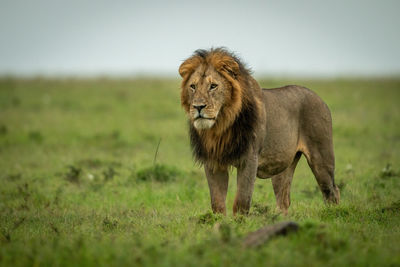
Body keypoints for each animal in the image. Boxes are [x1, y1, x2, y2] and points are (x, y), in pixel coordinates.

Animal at [180, 47, 340, 216]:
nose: (198, 107)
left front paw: (240, 221)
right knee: (283, 199)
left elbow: (242, 201)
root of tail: (319, 98)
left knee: (332, 191)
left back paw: (334, 213)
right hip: (283, 165)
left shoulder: (249, 159)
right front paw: (217, 221)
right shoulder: (213, 162)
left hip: (321, 158)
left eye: (213, 86)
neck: (221, 127)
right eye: (193, 86)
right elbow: (217, 203)